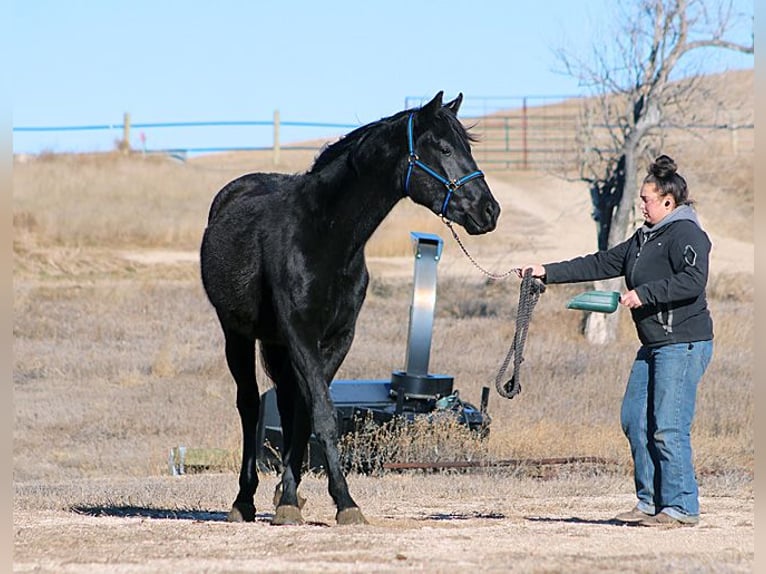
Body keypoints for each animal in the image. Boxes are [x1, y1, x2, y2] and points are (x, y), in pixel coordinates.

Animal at [199, 91, 500, 526]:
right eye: (443, 148)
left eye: (467, 148)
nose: (488, 210)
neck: (324, 235)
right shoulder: (301, 334)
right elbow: (323, 414)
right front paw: (345, 502)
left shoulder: (338, 338)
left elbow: (307, 414)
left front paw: (290, 499)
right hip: (237, 335)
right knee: (249, 405)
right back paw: (244, 501)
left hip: (275, 344)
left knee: (285, 403)